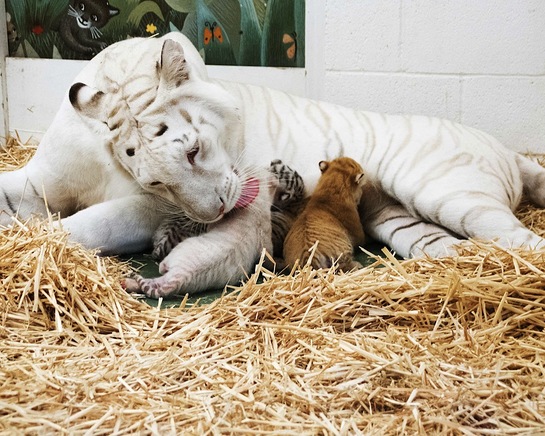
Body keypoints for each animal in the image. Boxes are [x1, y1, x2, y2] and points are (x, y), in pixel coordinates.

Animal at [1, 31, 544, 296]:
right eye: (155, 178)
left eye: (192, 152)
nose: (220, 213)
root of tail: (509, 151)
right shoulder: (40, 179)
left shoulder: (146, 210)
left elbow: (86, 226)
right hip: (407, 224)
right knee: (452, 248)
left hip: (450, 194)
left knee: (523, 241)